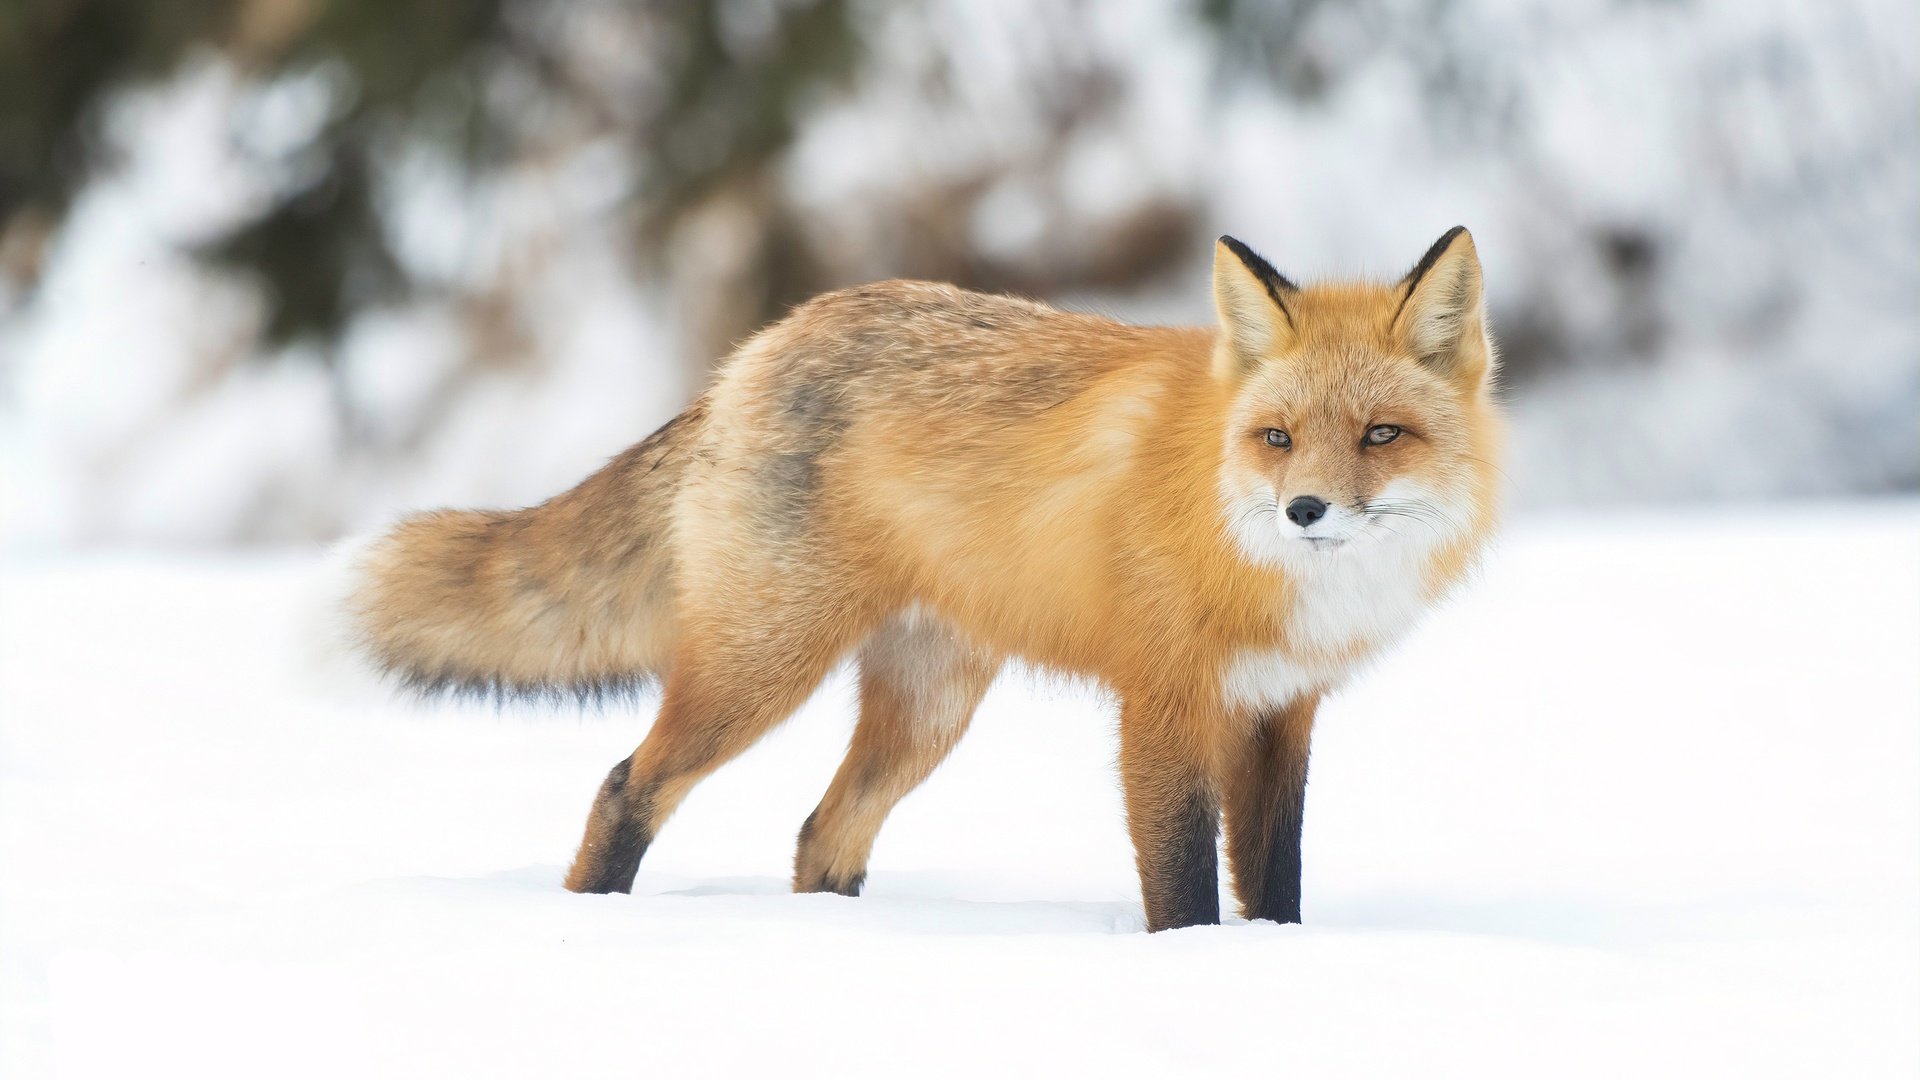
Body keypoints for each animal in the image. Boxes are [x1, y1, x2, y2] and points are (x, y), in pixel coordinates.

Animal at [334, 224, 1497, 926]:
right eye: (1278, 439)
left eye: (1381, 435)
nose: (1306, 511)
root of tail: (754, 351)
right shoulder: (1165, 705)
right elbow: (1180, 880)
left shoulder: (1279, 710)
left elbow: (1275, 876)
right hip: (764, 669)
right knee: (629, 784)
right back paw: (593, 917)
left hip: (928, 711)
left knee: (822, 833)